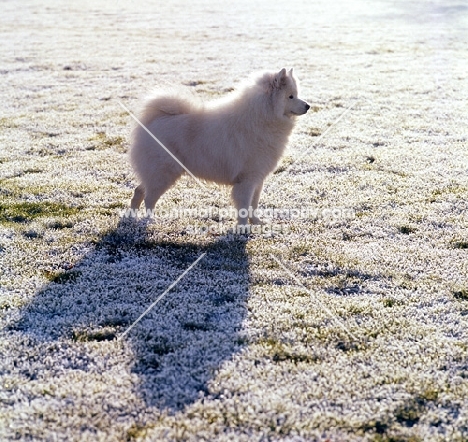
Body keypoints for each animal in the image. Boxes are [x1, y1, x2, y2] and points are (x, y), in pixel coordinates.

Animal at [130, 67, 308, 226]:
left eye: (296, 95)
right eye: (290, 96)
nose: (308, 106)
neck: (261, 117)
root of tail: (154, 119)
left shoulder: (257, 179)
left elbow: (254, 204)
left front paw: (256, 222)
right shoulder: (246, 180)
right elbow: (244, 207)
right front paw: (243, 229)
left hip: (156, 174)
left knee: (139, 191)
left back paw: (131, 218)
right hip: (163, 174)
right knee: (149, 199)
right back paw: (149, 221)